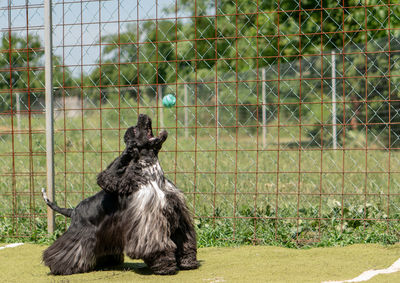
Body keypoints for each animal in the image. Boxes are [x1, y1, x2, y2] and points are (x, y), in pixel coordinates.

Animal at [42, 114, 198, 276]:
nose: (142, 115)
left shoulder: (177, 216)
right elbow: (158, 245)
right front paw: (166, 267)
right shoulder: (150, 222)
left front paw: (188, 262)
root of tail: (72, 211)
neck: (152, 174)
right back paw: (58, 266)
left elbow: (184, 240)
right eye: (135, 129)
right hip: (80, 232)